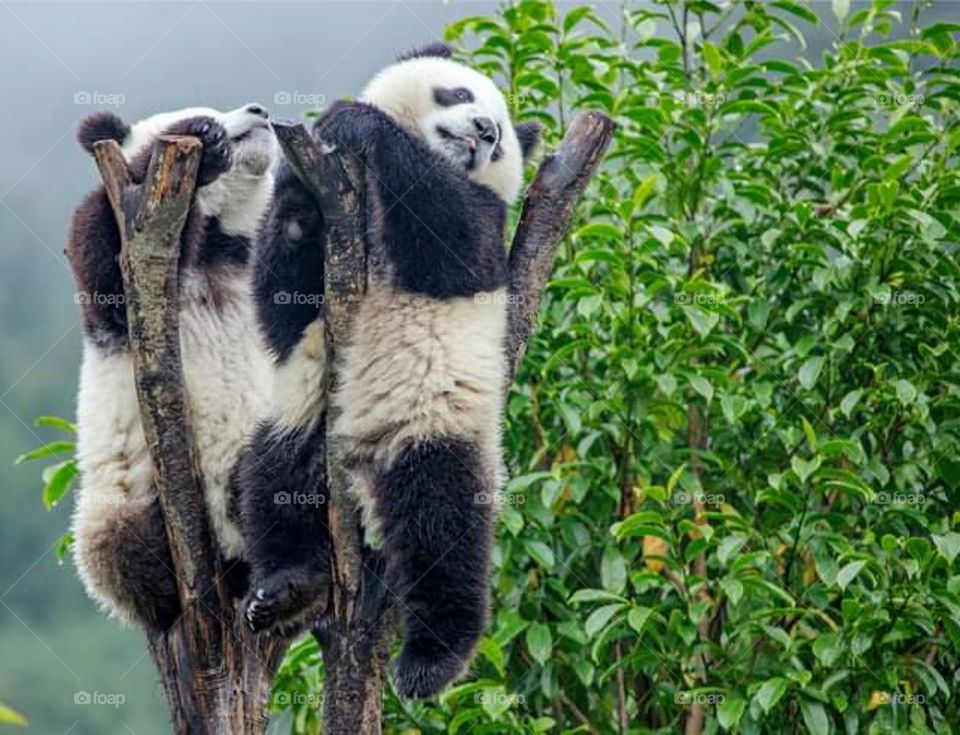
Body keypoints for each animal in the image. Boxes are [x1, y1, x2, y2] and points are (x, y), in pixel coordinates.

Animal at [67, 103, 279, 632]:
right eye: (205, 109)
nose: (259, 110)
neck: (220, 242)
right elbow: (105, 261)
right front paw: (205, 142)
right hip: (121, 494)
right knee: (119, 550)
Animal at [240, 44, 541, 698]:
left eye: (504, 139)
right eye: (459, 94)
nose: (485, 130)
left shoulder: (487, 225)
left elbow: (453, 238)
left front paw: (356, 121)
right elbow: (279, 300)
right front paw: (298, 197)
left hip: (432, 420)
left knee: (441, 525)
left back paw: (431, 660)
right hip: (306, 414)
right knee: (271, 476)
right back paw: (287, 585)